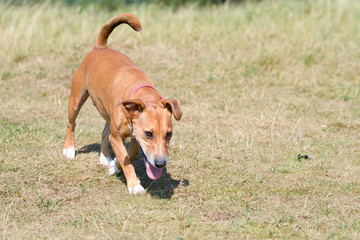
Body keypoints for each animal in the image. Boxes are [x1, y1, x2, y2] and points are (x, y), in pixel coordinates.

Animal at [62, 13, 183, 194]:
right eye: (149, 133)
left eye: (169, 134)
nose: (161, 163)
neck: (140, 94)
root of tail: (100, 47)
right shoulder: (118, 137)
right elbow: (127, 162)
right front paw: (135, 185)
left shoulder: (134, 138)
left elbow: (128, 157)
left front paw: (115, 166)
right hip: (76, 98)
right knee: (71, 123)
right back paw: (69, 148)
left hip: (107, 113)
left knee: (104, 133)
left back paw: (105, 156)